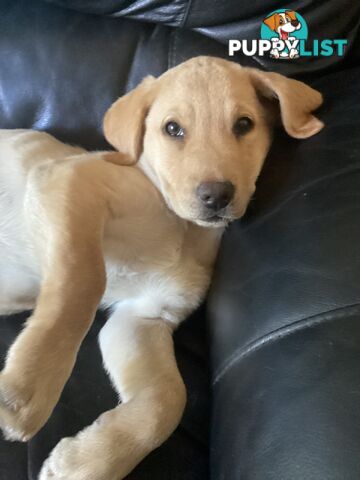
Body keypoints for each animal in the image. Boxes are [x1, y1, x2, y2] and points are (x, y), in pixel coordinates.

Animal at [0, 54, 324, 478]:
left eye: (244, 124)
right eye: (172, 129)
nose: (216, 196)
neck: (176, 222)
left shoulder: (143, 317)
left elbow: (168, 399)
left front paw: (89, 461)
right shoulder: (69, 180)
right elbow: (81, 284)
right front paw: (27, 387)